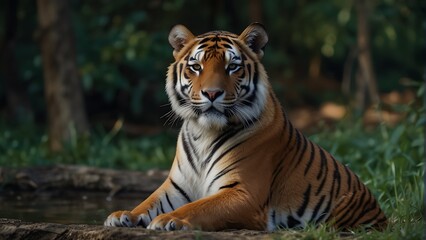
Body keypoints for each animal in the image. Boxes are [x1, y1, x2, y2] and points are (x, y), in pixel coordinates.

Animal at [105, 23, 388, 231]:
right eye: (196, 67)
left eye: (232, 67)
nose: (212, 93)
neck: (203, 133)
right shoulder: (176, 186)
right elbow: (147, 202)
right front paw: (123, 215)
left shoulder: (244, 193)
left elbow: (199, 207)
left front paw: (168, 219)